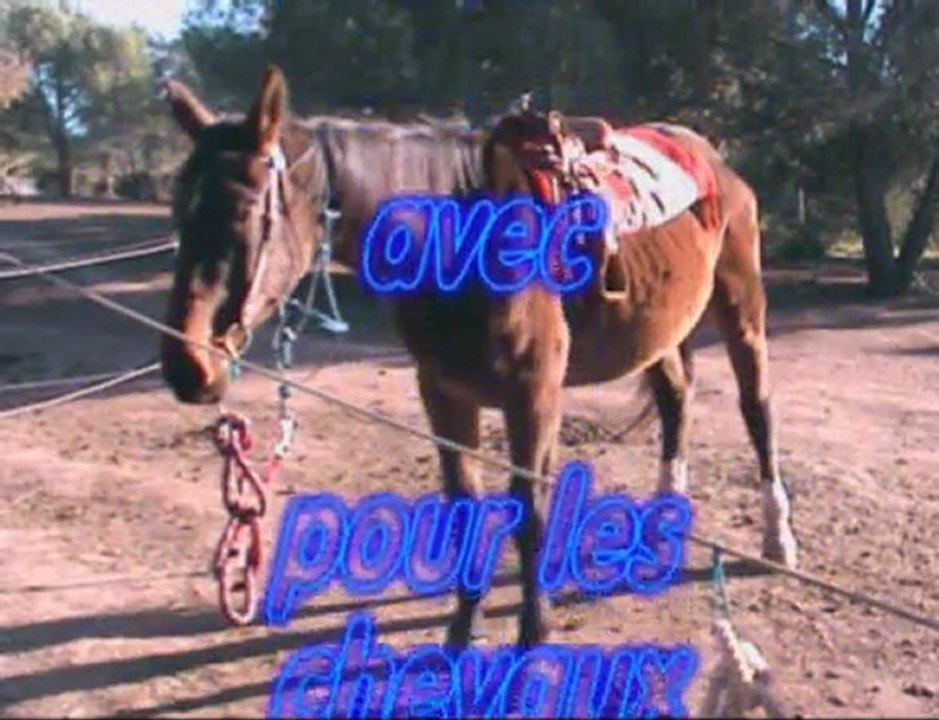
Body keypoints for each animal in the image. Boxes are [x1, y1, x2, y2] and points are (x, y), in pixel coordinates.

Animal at [159, 66, 798, 648]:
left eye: (244, 212)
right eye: (179, 212)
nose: (187, 366)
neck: (466, 242)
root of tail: (710, 156)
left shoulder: (533, 396)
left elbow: (529, 510)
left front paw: (533, 633)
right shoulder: (444, 393)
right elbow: (464, 505)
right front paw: (461, 631)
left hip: (741, 304)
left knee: (757, 408)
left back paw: (778, 537)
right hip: (657, 331)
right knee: (675, 402)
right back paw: (665, 518)